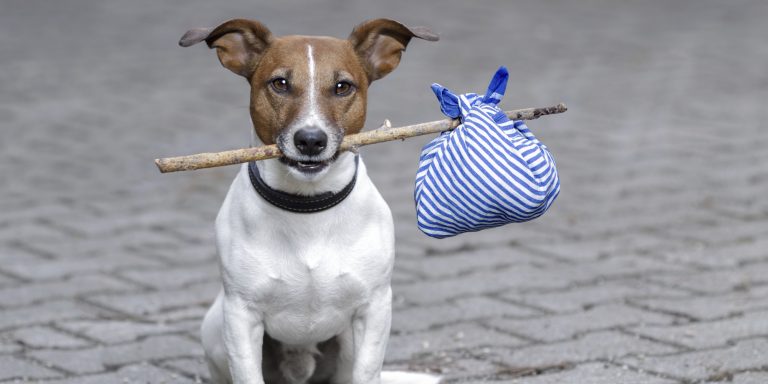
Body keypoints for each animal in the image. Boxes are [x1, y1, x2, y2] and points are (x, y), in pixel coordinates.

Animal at [176, 16, 438, 382]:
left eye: (342, 87)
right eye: (280, 83)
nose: (311, 140)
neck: (307, 207)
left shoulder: (374, 309)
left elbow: (366, 371)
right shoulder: (241, 316)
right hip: (215, 328)